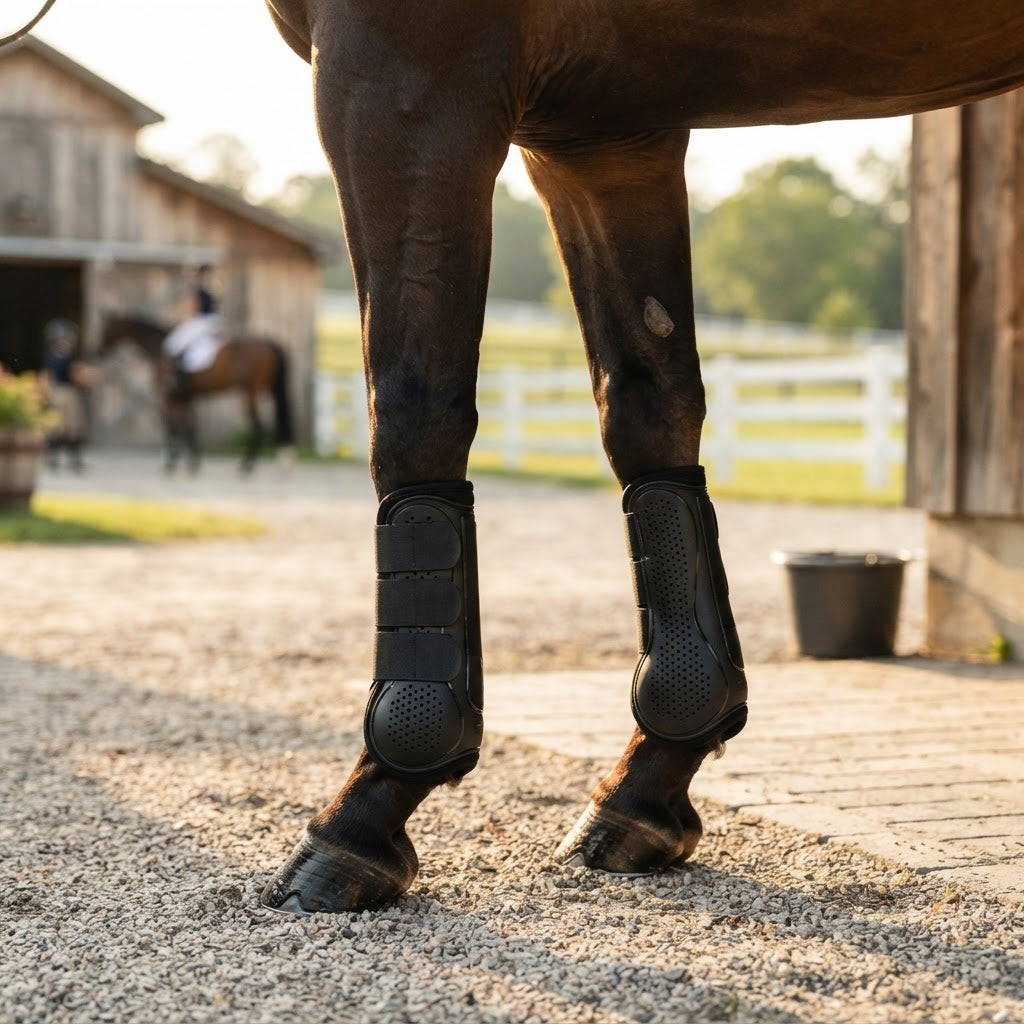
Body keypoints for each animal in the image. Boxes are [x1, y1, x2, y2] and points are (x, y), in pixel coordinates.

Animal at [98, 313, 295, 474]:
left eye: (105, 330)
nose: (97, 351)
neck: (158, 347)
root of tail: (269, 342)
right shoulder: (185, 397)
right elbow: (189, 425)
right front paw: (193, 462)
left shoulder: (168, 397)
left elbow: (173, 426)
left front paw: (171, 463)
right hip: (270, 390)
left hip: (249, 393)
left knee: (257, 425)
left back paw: (247, 465)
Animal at [252, 1, 1024, 915]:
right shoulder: (605, 134)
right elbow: (650, 417)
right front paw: (652, 781)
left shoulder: (402, 72)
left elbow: (413, 412)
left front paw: (365, 811)